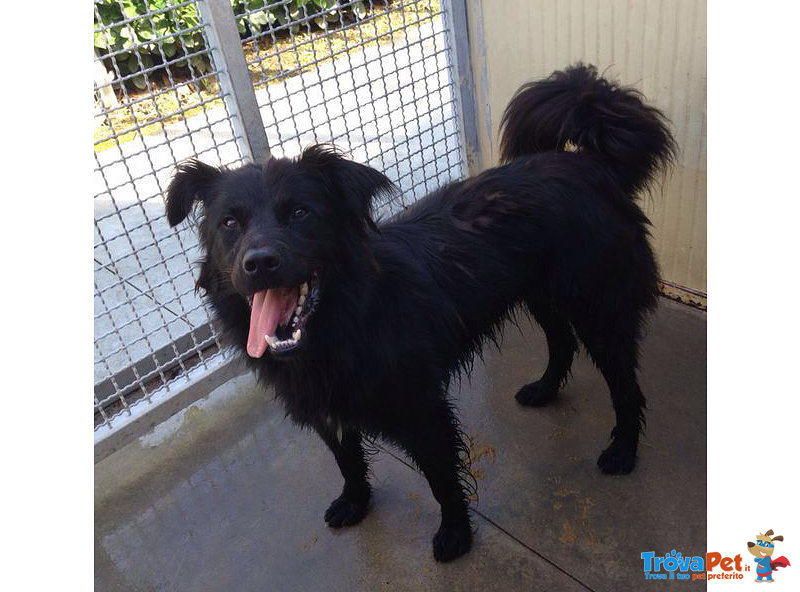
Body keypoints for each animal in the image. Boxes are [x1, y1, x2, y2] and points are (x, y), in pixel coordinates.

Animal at [167, 63, 676, 560]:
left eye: (299, 214)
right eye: (228, 223)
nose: (259, 262)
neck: (345, 320)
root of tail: (592, 164)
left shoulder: (422, 410)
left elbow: (441, 479)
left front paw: (455, 535)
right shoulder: (327, 408)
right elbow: (347, 459)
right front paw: (356, 502)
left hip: (599, 308)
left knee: (625, 387)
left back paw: (623, 451)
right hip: (541, 293)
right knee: (562, 341)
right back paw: (544, 389)